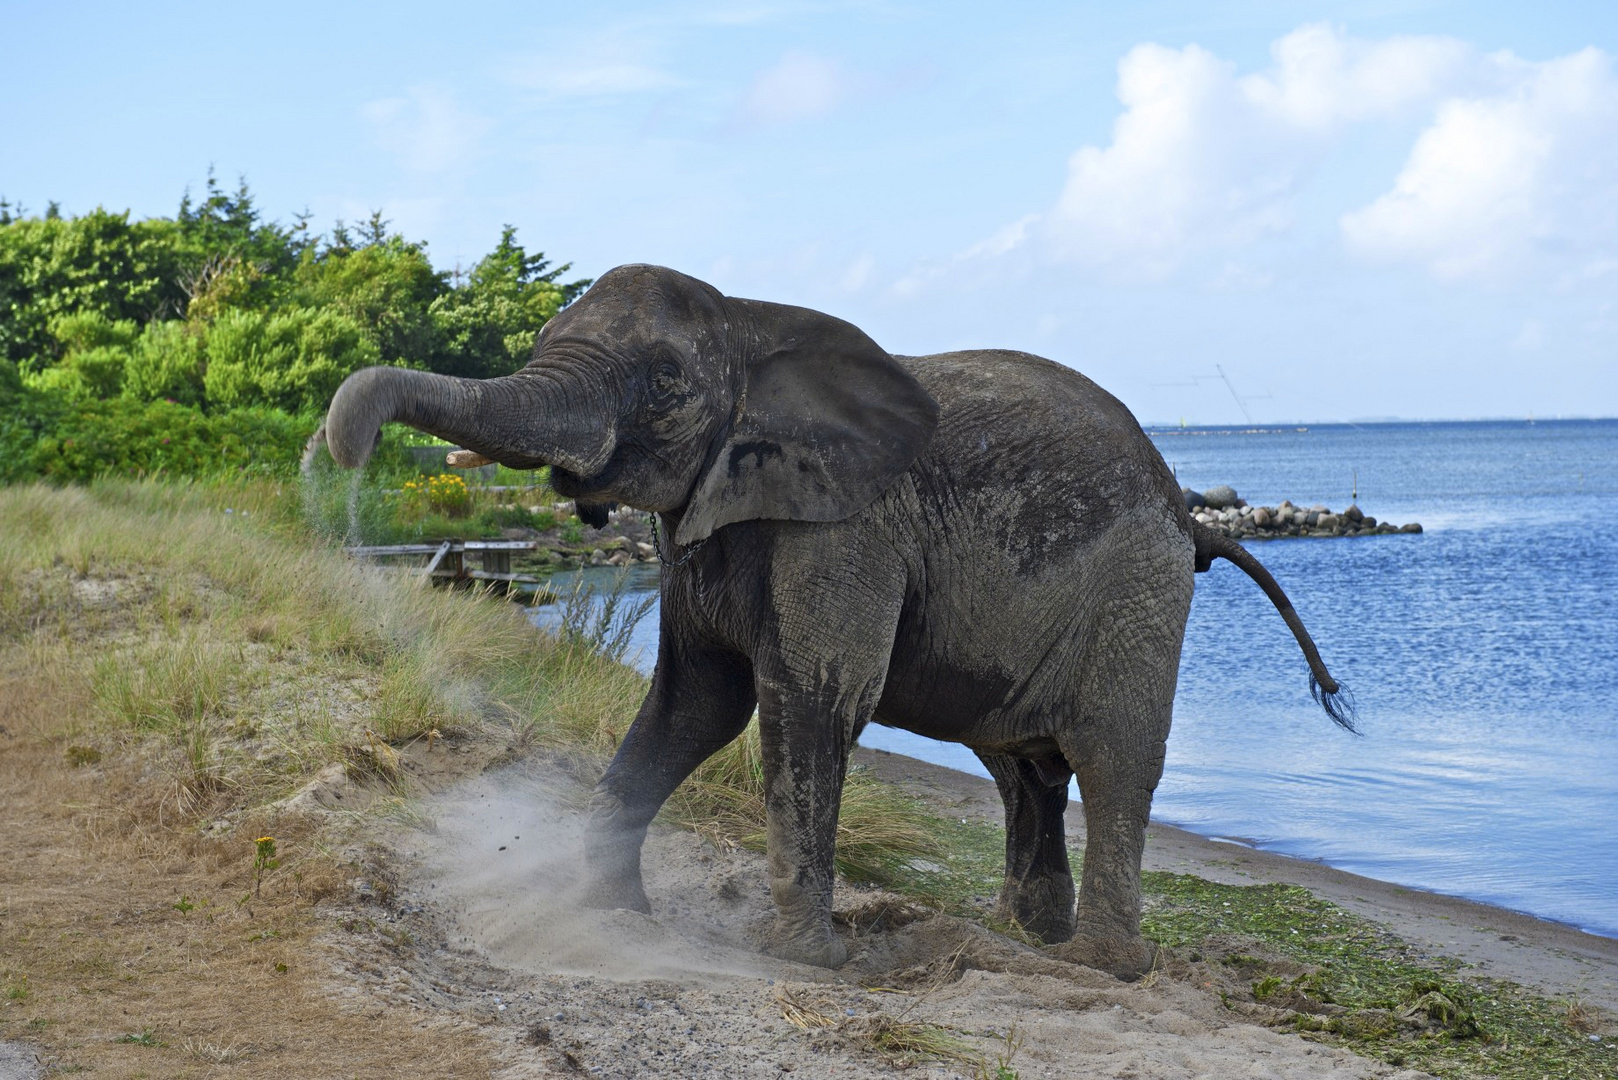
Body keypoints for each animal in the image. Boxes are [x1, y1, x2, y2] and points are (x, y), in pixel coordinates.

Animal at [318, 263, 1352, 977]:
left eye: (665, 381)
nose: (349, 454)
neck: (750, 320)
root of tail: (1191, 513)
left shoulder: (850, 531)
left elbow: (813, 700)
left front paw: (802, 962)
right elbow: (696, 704)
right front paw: (616, 918)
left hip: (1137, 585)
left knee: (1110, 754)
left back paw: (1098, 967)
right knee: (1023, 766)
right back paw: (1020, 937)